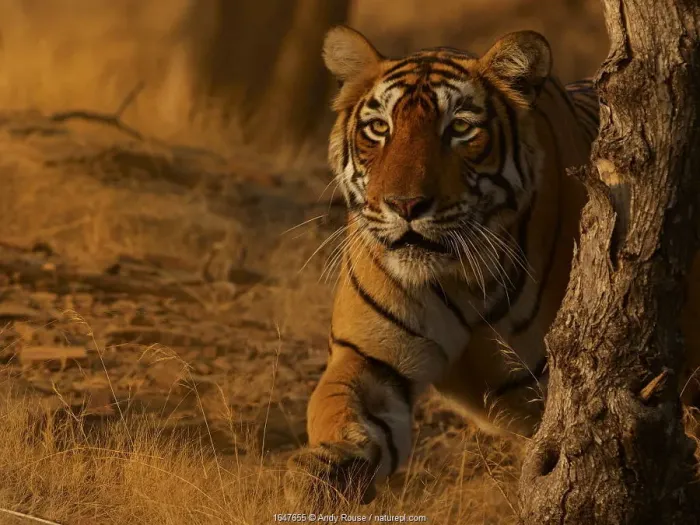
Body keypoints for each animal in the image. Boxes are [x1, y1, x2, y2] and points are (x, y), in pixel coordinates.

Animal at [284, 25, 700, 505]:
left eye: (460, 129)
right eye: (379, 128)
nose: (404, 205)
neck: (461, 274)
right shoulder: (369, 358)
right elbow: (341, 414)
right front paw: (320, 474)